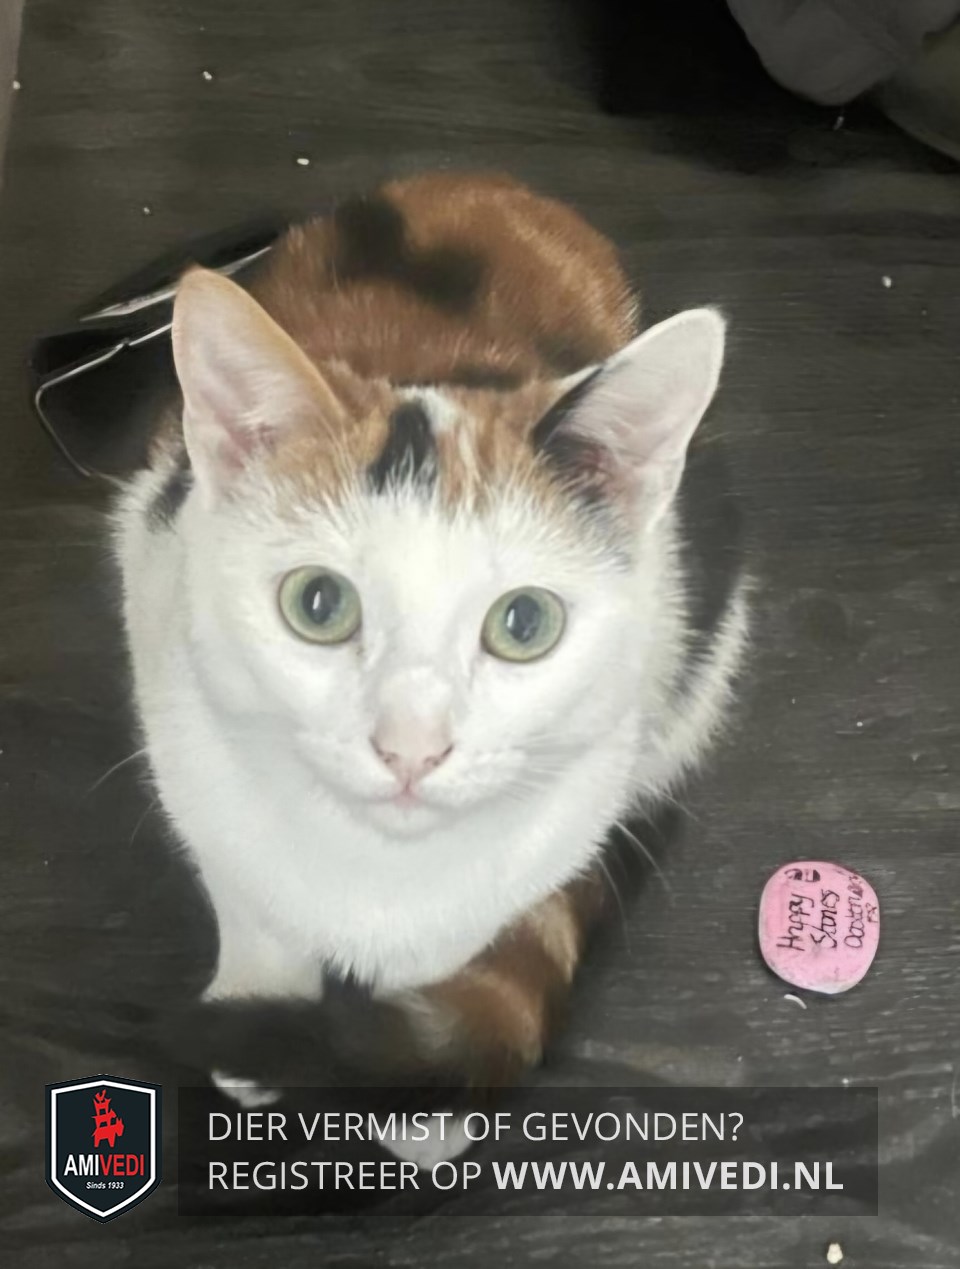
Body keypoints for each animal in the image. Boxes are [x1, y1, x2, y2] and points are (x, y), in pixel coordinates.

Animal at [114, 172, 747, 1096]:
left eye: (525, 622)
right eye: (318, 604)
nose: (411, 749)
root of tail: (504, 187)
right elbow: (251, 901)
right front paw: (258, 1006)